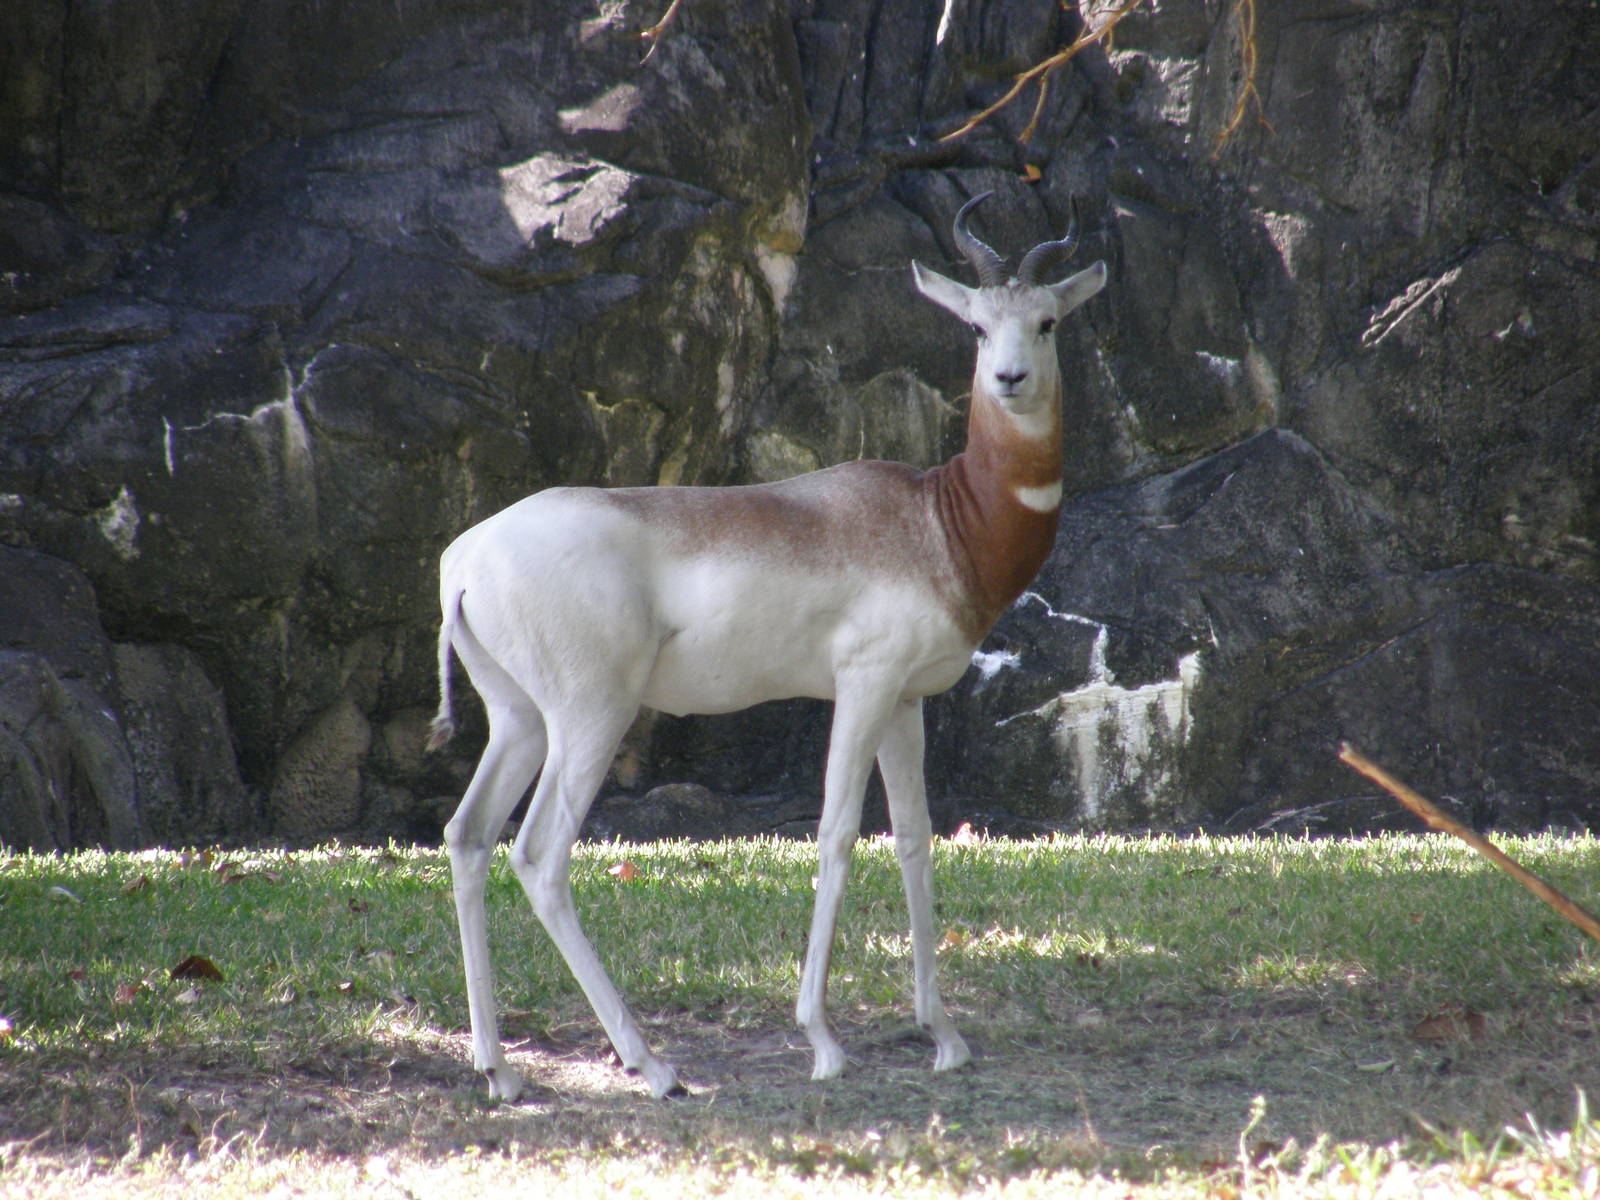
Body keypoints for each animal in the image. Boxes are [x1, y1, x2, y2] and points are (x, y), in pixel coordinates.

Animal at [428, 191, 1106, 1100]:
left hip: (520, 720)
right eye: (975, 326)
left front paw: (944, 1035)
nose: (1010, 379)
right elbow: (837, 832)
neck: (938, 519)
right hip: (591, 717)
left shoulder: (906, 701)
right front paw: (822, 1041)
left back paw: (500, 1069)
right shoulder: (862, 685)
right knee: (539, 857)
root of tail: (465, 562)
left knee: (467, 836)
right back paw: (654, 1066)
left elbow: (916, 838)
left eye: (1046, 321)